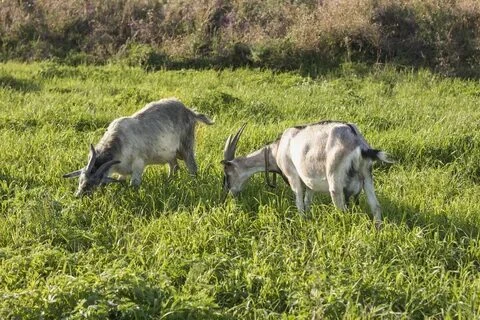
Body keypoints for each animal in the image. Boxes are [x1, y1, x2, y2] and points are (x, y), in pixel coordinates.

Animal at [62, 97, 213, 196]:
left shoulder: (139, 164)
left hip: (186, 146)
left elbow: (133, 184)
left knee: (192, 167)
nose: (78, 196)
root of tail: (189, 111)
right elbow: (121, 181)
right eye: (80, 180)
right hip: (170, 154)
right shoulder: (122, 170)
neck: (119, 142)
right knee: (174, 166)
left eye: (93, 183)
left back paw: (193, 183)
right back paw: (169, 181)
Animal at [221, 121, 394, 226]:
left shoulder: (294, 177)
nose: (228, 195)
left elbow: (299, 202)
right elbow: (307, 201)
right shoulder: (309, 183)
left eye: (227, 174)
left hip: (335, 182)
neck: (277, 149)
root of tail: (358, 143)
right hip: (367, 177)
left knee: (343, 212)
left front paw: (302, 221)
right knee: (376, 207)